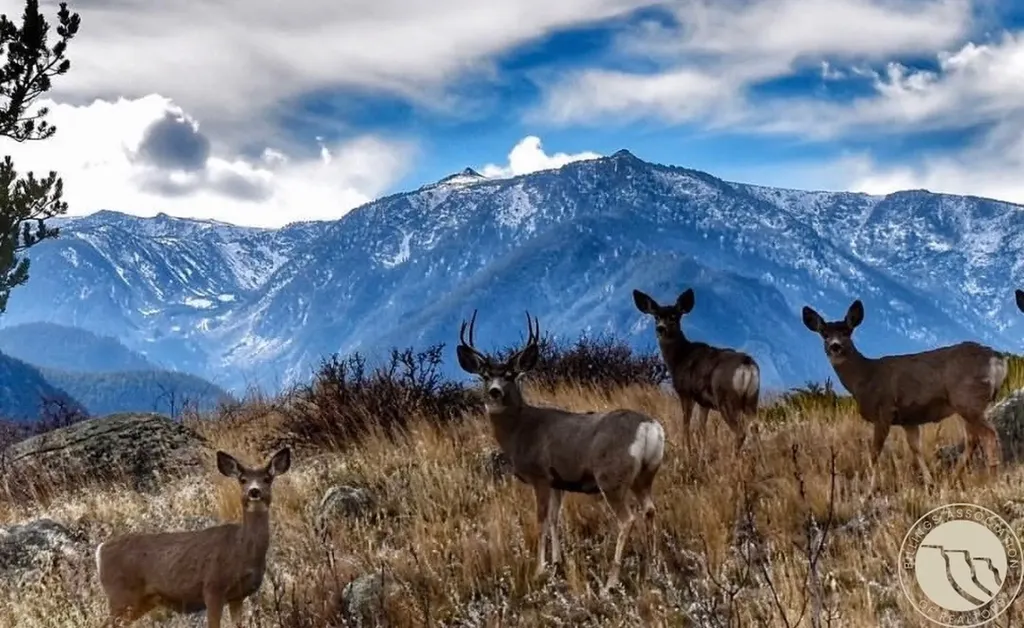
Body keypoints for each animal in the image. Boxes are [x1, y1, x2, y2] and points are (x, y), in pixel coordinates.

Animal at [94, 448, 292, 627]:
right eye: (242, 479)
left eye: (267, 478)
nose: (254, 491)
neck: (242, 549)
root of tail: (100, 550)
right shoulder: (213, 587)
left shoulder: (238, 596)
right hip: (120, 594)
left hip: (141, 601)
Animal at [456, 310, 665, 594]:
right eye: (485, 375)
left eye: (510, 374)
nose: (494, 392)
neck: (520, 430)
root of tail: (649, 427)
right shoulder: (558, 481)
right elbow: (556, 518)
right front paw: (556, 561)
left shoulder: (540, 477)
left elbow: (541, 520)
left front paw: (539, 569)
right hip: (645, 475)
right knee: (650, 510)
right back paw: (652, 566)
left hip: (611, 477)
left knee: (627, 518)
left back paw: (610, 583)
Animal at [632, 287, 760, 454]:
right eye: (656, 316)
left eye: (674, 316)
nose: (660, 328)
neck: (679, 358)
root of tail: (747, 364)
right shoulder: (704, 402)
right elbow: (701, 428)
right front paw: (701, 452)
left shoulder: (685, 392)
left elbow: (686, 424)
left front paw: (687, 450)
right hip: (752, 399)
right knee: (755, 428)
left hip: (726, 399)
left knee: (740, 431)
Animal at [801, 300, 1007, 492]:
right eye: (824, 334)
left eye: (847, 332)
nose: (835, 346)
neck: (865, 378)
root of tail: (997, 358)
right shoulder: (909, 418)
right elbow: (915, 448)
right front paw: (930, 483)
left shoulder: (884, 411)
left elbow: (874, 453)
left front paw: (868, 491)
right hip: (968, 404)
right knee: (973, 439)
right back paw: (953, 479)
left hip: (967, 398)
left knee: (988, 434)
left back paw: (993, 477)